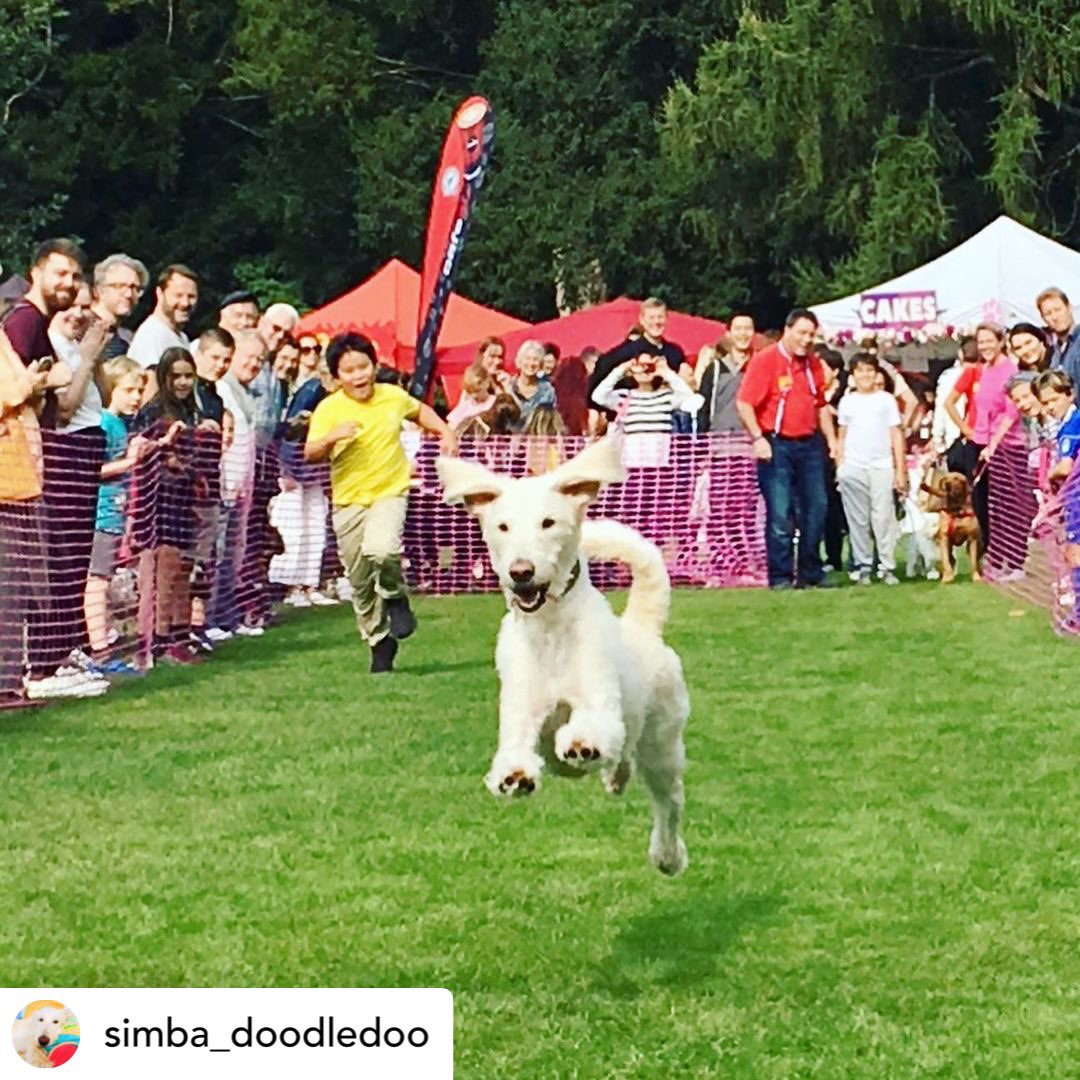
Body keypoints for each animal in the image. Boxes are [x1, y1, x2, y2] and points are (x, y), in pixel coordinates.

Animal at [438, 434, 691, 872]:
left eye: (548, 522)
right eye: (502, 526)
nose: (521, 571)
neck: (550, 630)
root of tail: (642, 625)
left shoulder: (598, 702)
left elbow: (592, 726)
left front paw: (580, 744)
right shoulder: (521, 711)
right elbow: (516, 748)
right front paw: (514, 776)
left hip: (662, 742)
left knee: (668, 800)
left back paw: (667, 854)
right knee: (624, 758)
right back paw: (614, 778)